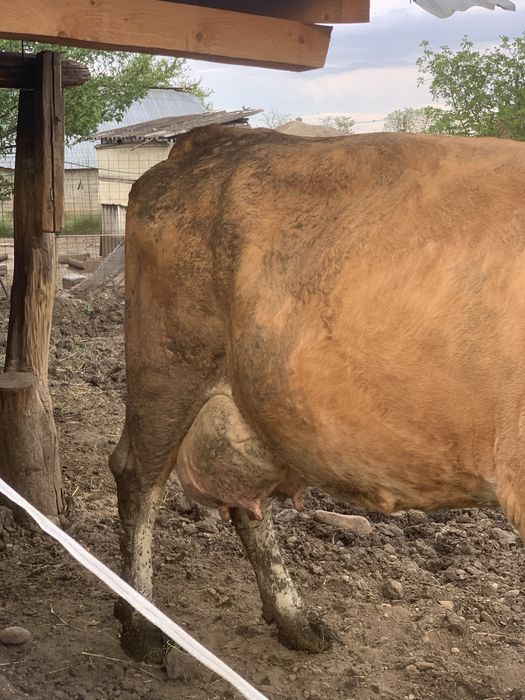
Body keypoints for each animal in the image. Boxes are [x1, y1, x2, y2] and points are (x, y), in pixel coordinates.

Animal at [109, 126, 525, 662]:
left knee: (246, 502)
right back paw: (141, 627)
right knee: (139, 481)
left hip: (252, 401)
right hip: (166, 367)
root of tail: (214, 138)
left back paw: (294, 619)